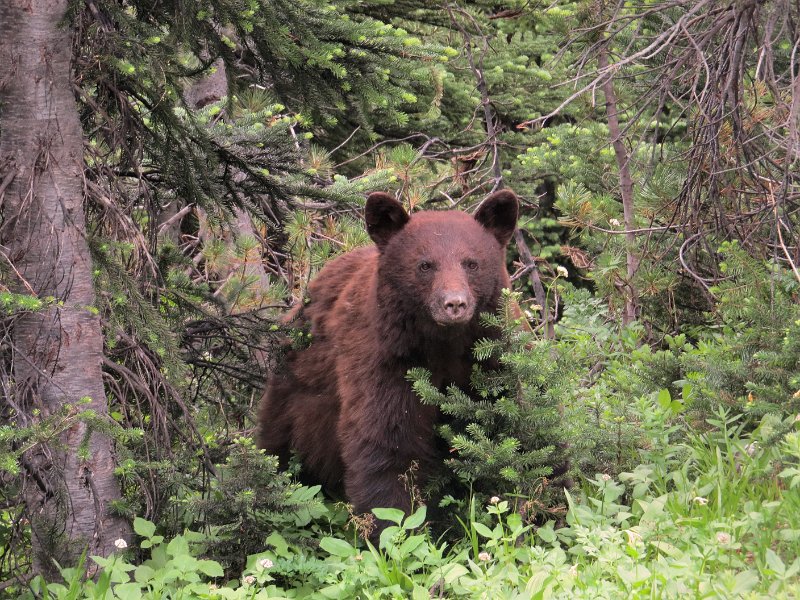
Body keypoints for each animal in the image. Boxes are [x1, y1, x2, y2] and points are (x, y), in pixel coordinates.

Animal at [256, 189, 519, 522]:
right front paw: (396, 520)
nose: (454, 304)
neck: (443, 344)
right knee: (278, 441)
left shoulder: (493, 357)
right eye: (425, 265)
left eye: (471, 263)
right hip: (296, 389)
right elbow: (387, 440)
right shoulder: (388, 359)